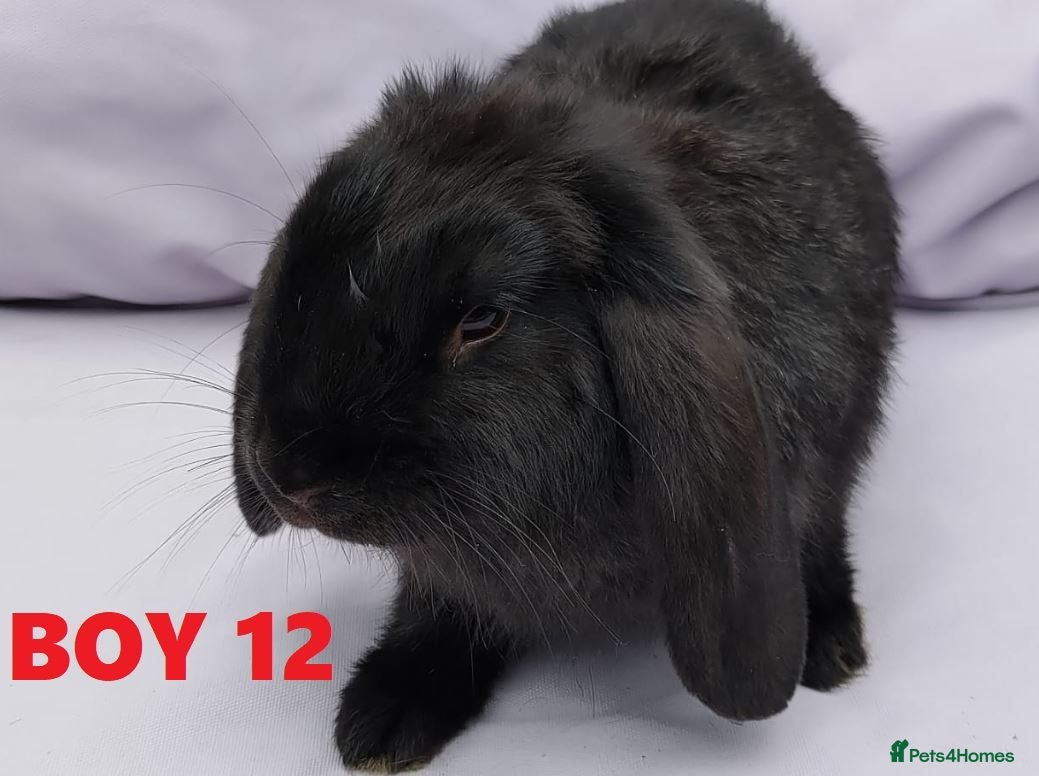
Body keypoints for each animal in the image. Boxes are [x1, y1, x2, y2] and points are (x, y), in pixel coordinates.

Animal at [231, 0, 899, 770]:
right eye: (301, 272)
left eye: (481, 319)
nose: (288, 479)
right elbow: (439, 607)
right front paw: (383, 719)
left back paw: (830, 646)